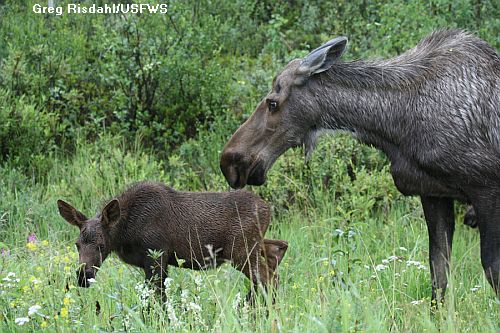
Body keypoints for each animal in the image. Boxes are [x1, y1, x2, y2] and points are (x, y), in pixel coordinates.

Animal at [56, 180, 288, 300]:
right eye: (77, 244)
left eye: (101, 245)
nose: (83, 276)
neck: (125, 234)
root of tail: (268, 209)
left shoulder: (156, 255)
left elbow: (157, 298)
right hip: (253, 246)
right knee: (279, 250)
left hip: (242, 251)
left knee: (269, 278)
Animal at [222, 29, 500, 300]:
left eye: (272, 102)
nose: (230, 161)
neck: (397, 124)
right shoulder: (433, 193)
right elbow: (439, 274)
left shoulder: (486, 190)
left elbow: (490, 269)